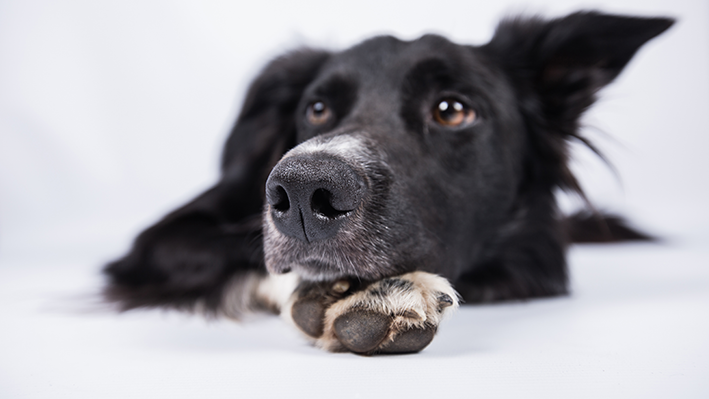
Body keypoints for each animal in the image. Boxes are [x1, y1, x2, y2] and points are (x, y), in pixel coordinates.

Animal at [102, 11, 672, 356]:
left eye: (452, 110)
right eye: (317, 109)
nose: (303, 193)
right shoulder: (161, 240)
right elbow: (241, 253)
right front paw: (359, 292)